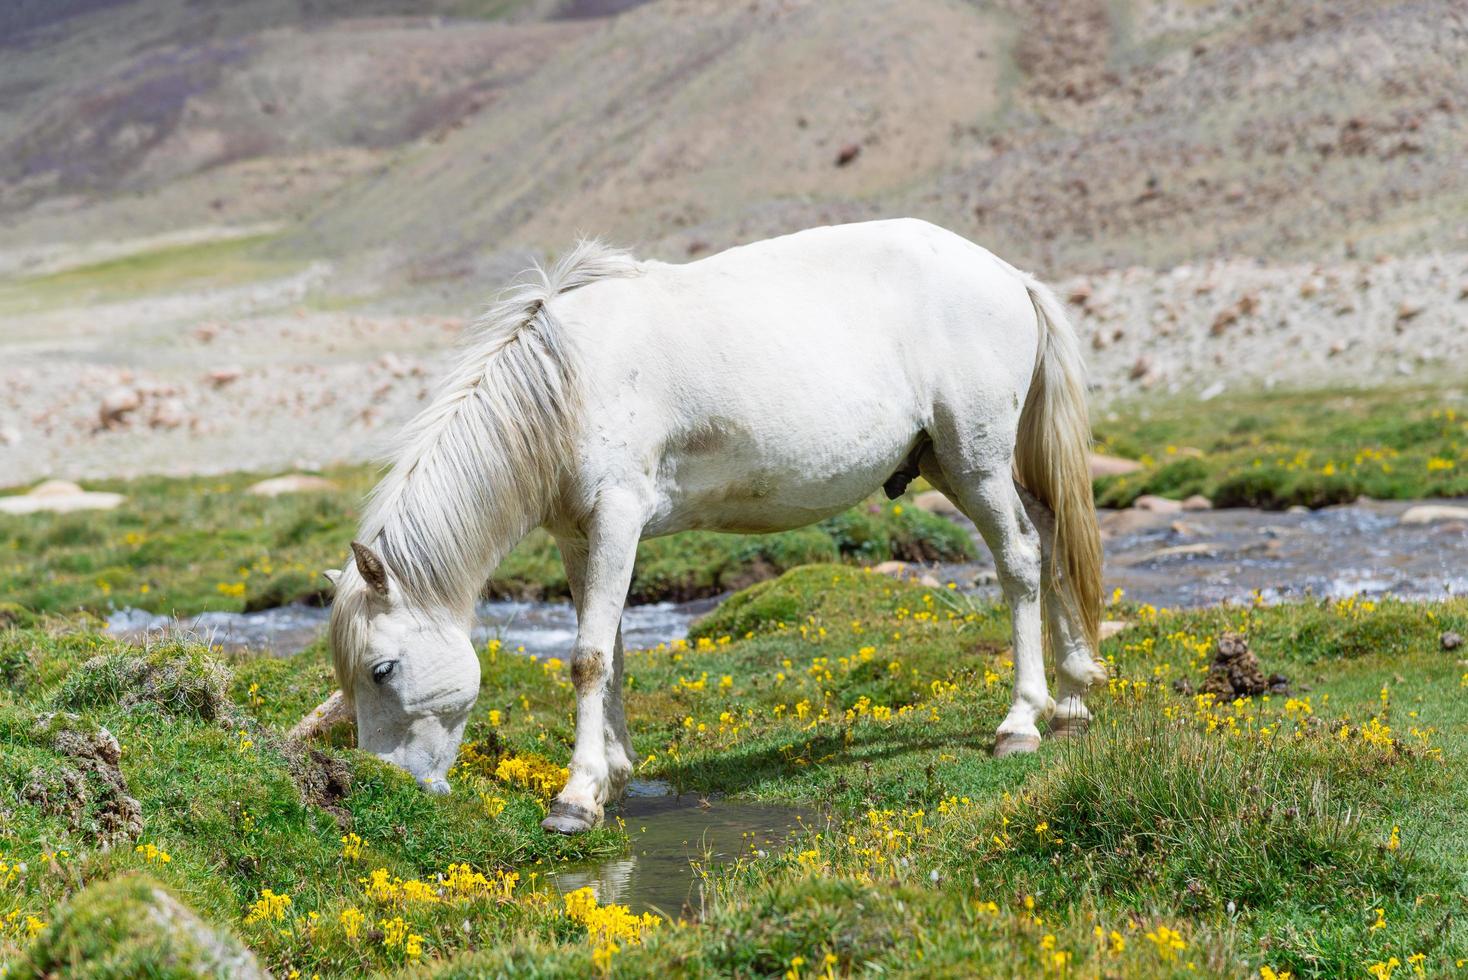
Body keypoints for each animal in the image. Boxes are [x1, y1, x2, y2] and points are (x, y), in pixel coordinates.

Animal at [324, 220, 1103, 833]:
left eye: (381, 669)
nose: (389, 787)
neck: (567, 384)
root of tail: (1009, 275)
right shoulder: (581, 537)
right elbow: (611, 651)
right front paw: (612, 776)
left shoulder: (616, 518)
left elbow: (588, 657)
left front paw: (575, 799)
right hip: (949, 463)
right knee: (1050, 532)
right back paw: (1072, 697)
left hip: (975, 463)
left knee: (1020, 559)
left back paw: (1021, 721)